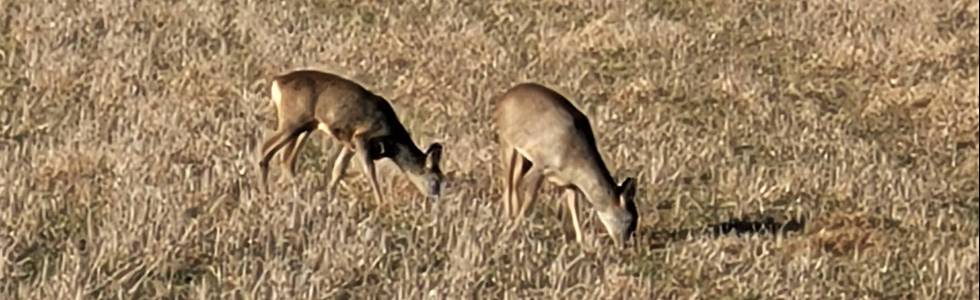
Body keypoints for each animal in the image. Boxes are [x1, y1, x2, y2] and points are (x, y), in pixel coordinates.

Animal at [258, 69, 446, 203]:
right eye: (435, 180)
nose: (435, 200)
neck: (392, 140)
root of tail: (277, 81)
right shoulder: (362, 137)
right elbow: (369, 170)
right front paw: (382, 205)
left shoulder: (350, 144)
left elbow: (338, 169)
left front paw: (330, 198)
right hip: (292, 121)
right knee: (266, 149)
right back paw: (266, 196)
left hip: (305, 126)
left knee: (287, 159)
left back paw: (296, 195)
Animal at [498, 82, 636, 248]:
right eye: (628, 220)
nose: (624, 245)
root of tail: (505, 96)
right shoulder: (541, 165)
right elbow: (530, 200)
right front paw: (514, 233)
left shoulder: (569, 183)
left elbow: (575, 208)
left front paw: (583, 245)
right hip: (507, 142)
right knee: (508, 184)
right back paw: (508, 219)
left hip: (524, 157)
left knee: (514, 182)